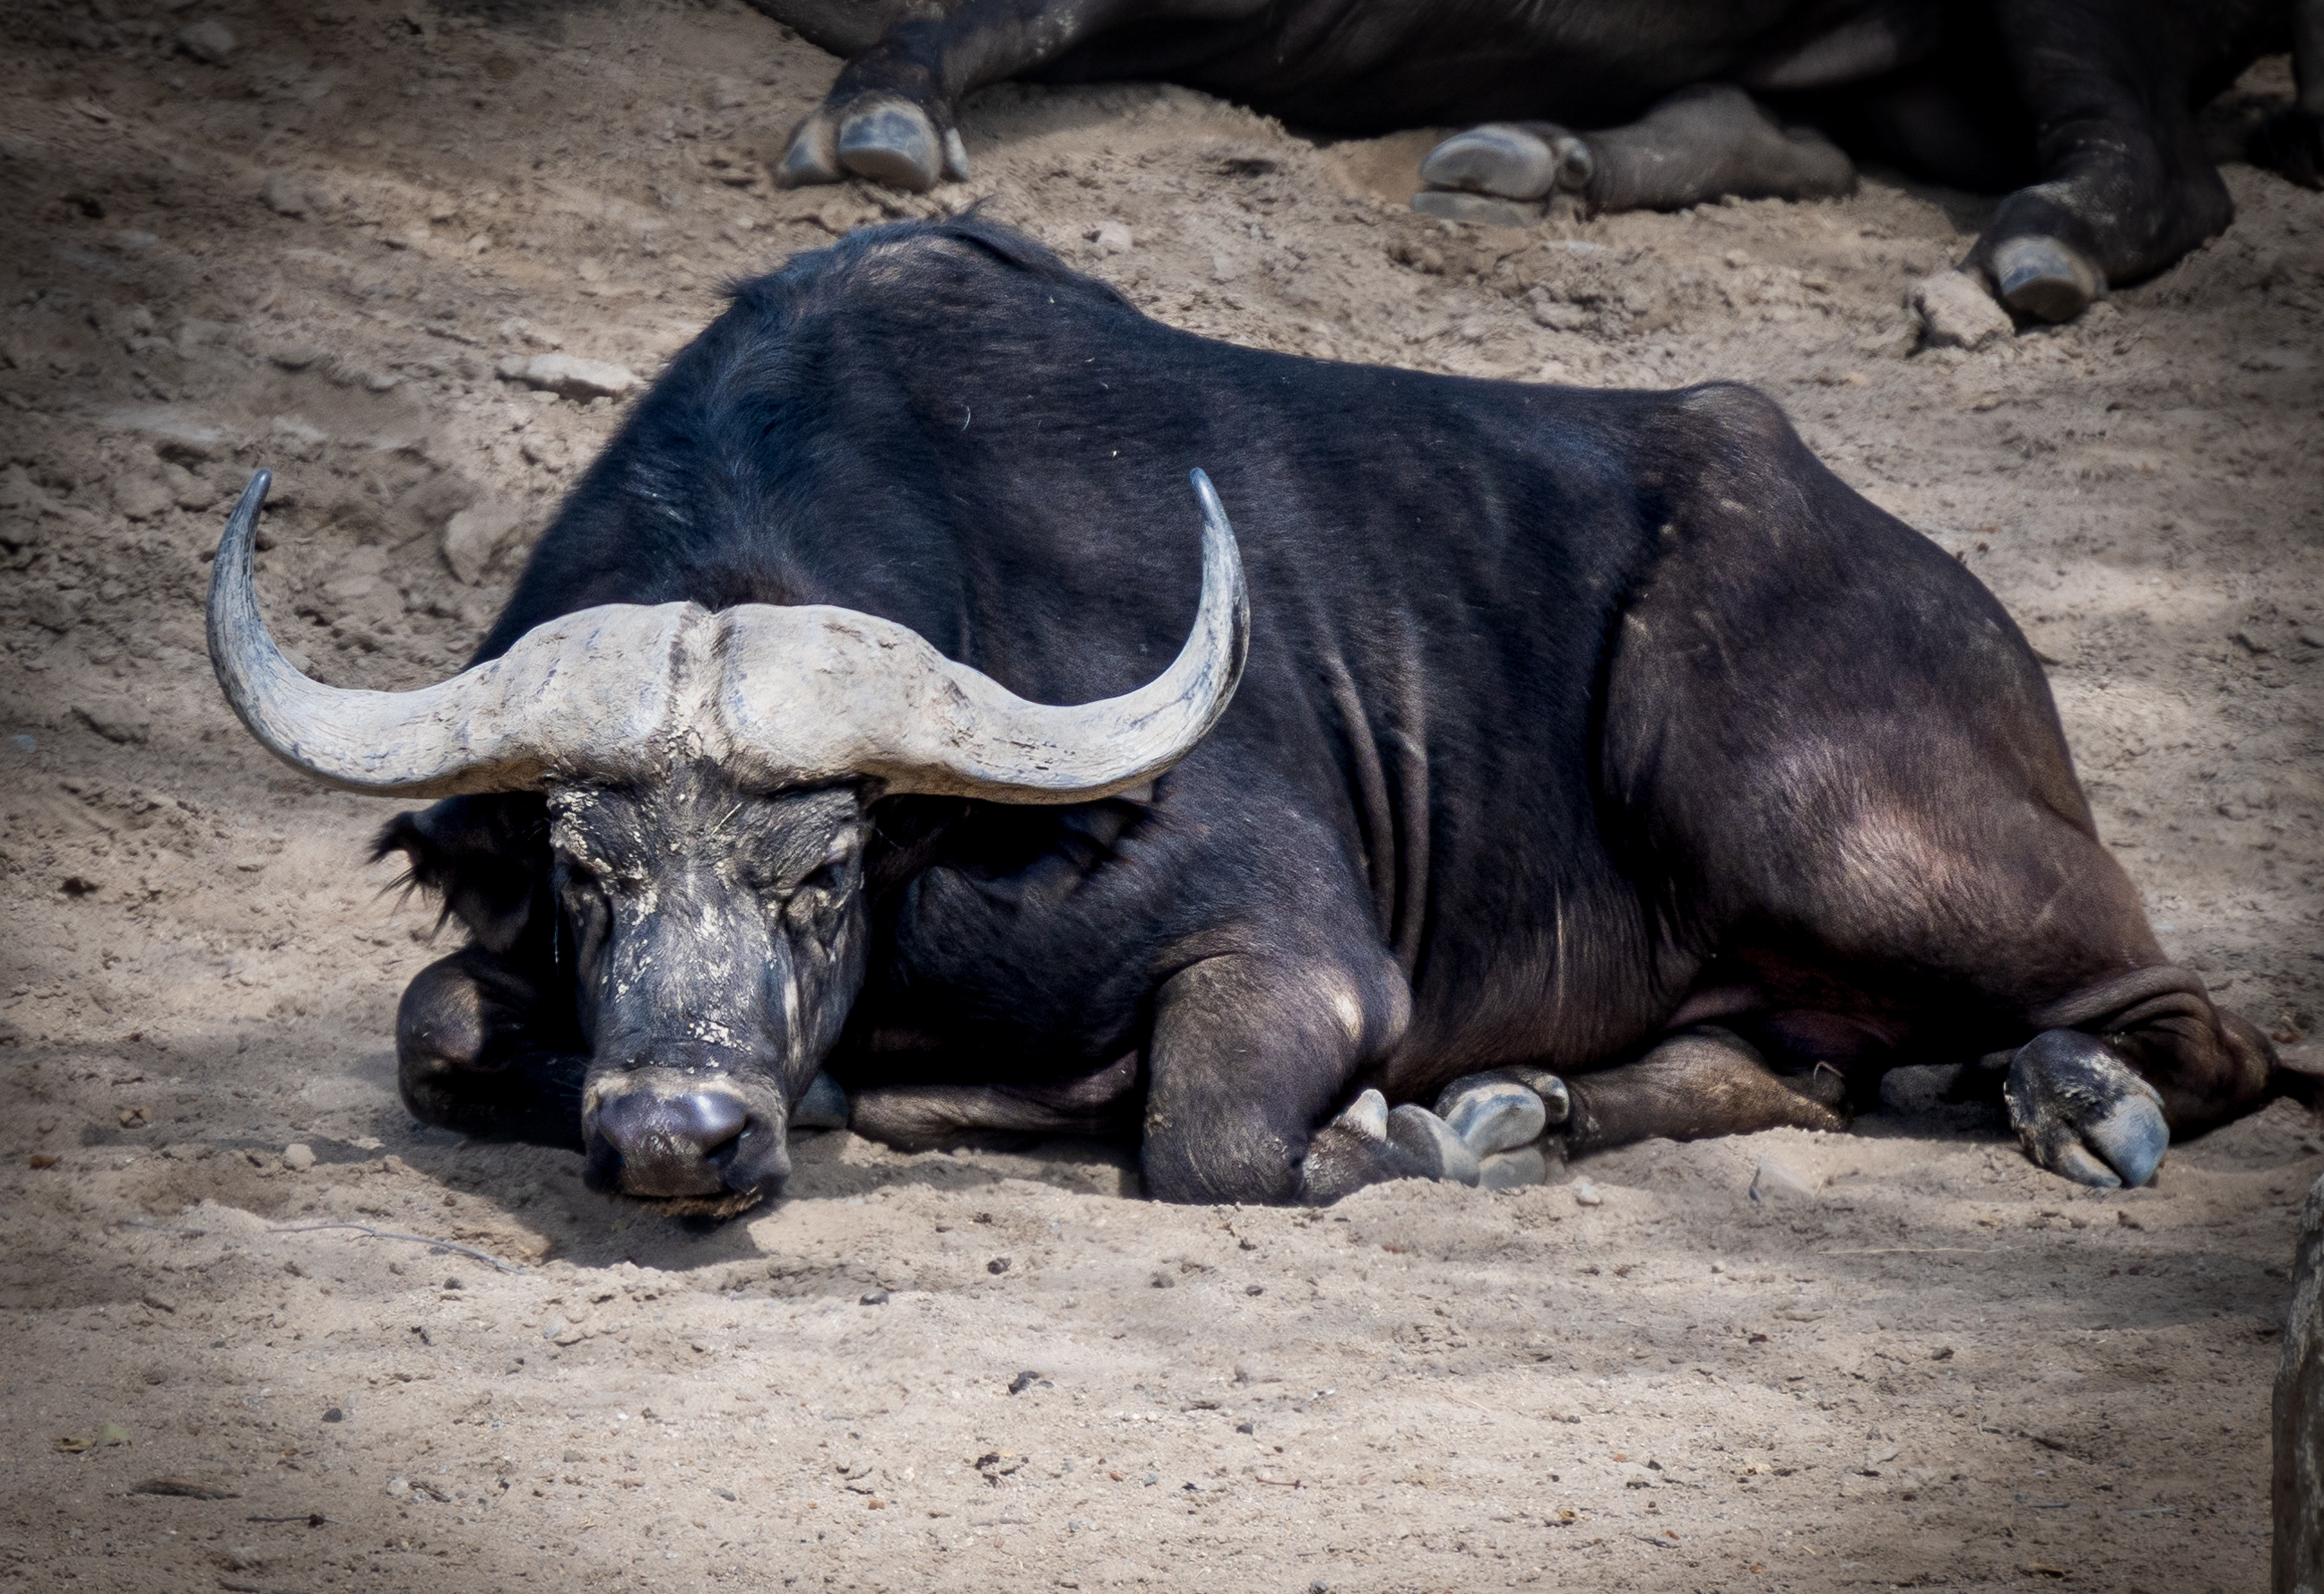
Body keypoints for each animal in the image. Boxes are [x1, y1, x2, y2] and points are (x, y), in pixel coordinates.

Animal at [208, 218, 2292, 1215]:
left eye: (823, 870)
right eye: (582, 868)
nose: (676, 1131)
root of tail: (1949, 597)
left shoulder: (1299, 953)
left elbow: (1212, 1135)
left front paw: (1413, 1136)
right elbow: (434, 1022)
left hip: (1803, 806)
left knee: (2207, 1034)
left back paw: (2078, 1101)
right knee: (1800, 1069)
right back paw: (1550, 1099)